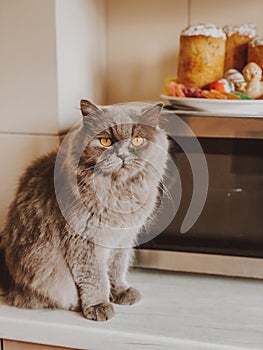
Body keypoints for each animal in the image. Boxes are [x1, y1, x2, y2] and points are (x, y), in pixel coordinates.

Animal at [0, 100, 169, 322]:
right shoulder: (84, 241)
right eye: (105, 141)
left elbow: (116, 270)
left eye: (137, 140)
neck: (119, 193)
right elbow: (95, 278)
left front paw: (120, 292)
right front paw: (99, 306)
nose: (122, 155)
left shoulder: (122, 241)